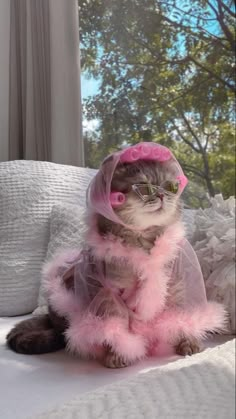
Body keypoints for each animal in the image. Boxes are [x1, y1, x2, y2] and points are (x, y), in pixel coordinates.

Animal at [6, 158, 200, 368]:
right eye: (144, 186)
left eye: (171, 187)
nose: (162, 194)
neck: (143, 244)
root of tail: (50, 317)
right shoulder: (109, 293)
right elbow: (116, 327)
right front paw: (120, 352)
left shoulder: (174, 287)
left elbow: (178, 320)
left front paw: (187, 341)